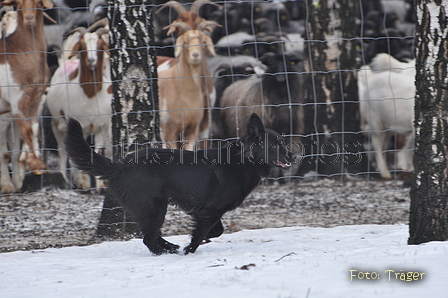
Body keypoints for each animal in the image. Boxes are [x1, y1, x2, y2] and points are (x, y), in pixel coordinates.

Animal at [0, 0, 53, 175]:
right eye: (18, 3)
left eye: (38, 2)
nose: (29, 18)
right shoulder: (17, 100)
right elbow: (26, 130)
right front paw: (34, 165)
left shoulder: (35, 100)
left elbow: (34, 129)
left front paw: (41, 166)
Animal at [44, 27, 112, 189]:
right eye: (82, 46)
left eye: (100, 45)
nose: (92, 61)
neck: (90, 95)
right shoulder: (79, 126)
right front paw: (83, 183)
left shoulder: (100, 127)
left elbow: (96, 150)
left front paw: (98, 186)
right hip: (56, 123)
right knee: (62, 151)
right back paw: (65, 178)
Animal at [65, 113, 298, 255]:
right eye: (275, 146)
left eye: (283, 143)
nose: (295, 157)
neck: (243, 160)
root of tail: (119, 166)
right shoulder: (211, 210)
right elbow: (203, 233)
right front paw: (189, 249)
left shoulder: (208, 210)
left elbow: (216, 231)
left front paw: (192, 242)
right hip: (154, 207)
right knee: (148, 238)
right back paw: (165, 251)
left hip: (152, 208)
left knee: (150, 234)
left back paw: (170, 246)